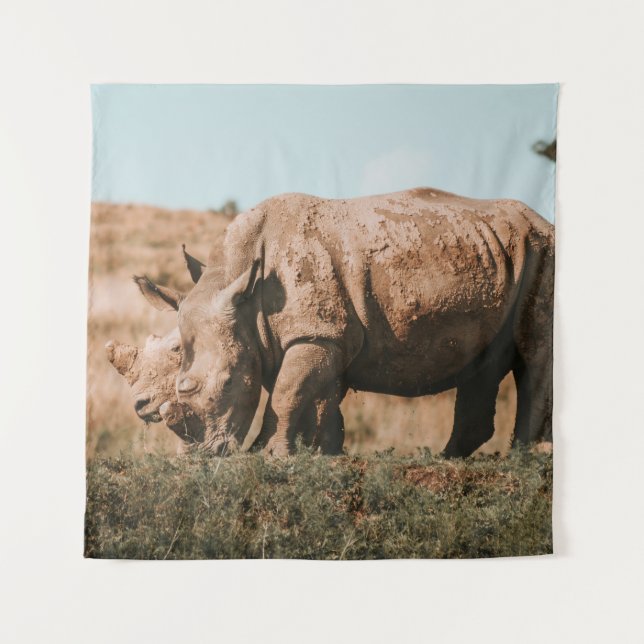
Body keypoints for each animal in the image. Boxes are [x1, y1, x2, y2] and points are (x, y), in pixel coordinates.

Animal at [144, 188, 554, 458]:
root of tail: (543, 222)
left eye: (229, 382)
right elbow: (315, 399)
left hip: (541, 250)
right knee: (483, 361)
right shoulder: (313, 338)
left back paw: (523, 458)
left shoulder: (318, 334)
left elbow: (287, 392)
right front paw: (323, 453)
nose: (199, 455)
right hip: (496, 254)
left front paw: (266, 454)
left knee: (535, 355)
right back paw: (447, 459)